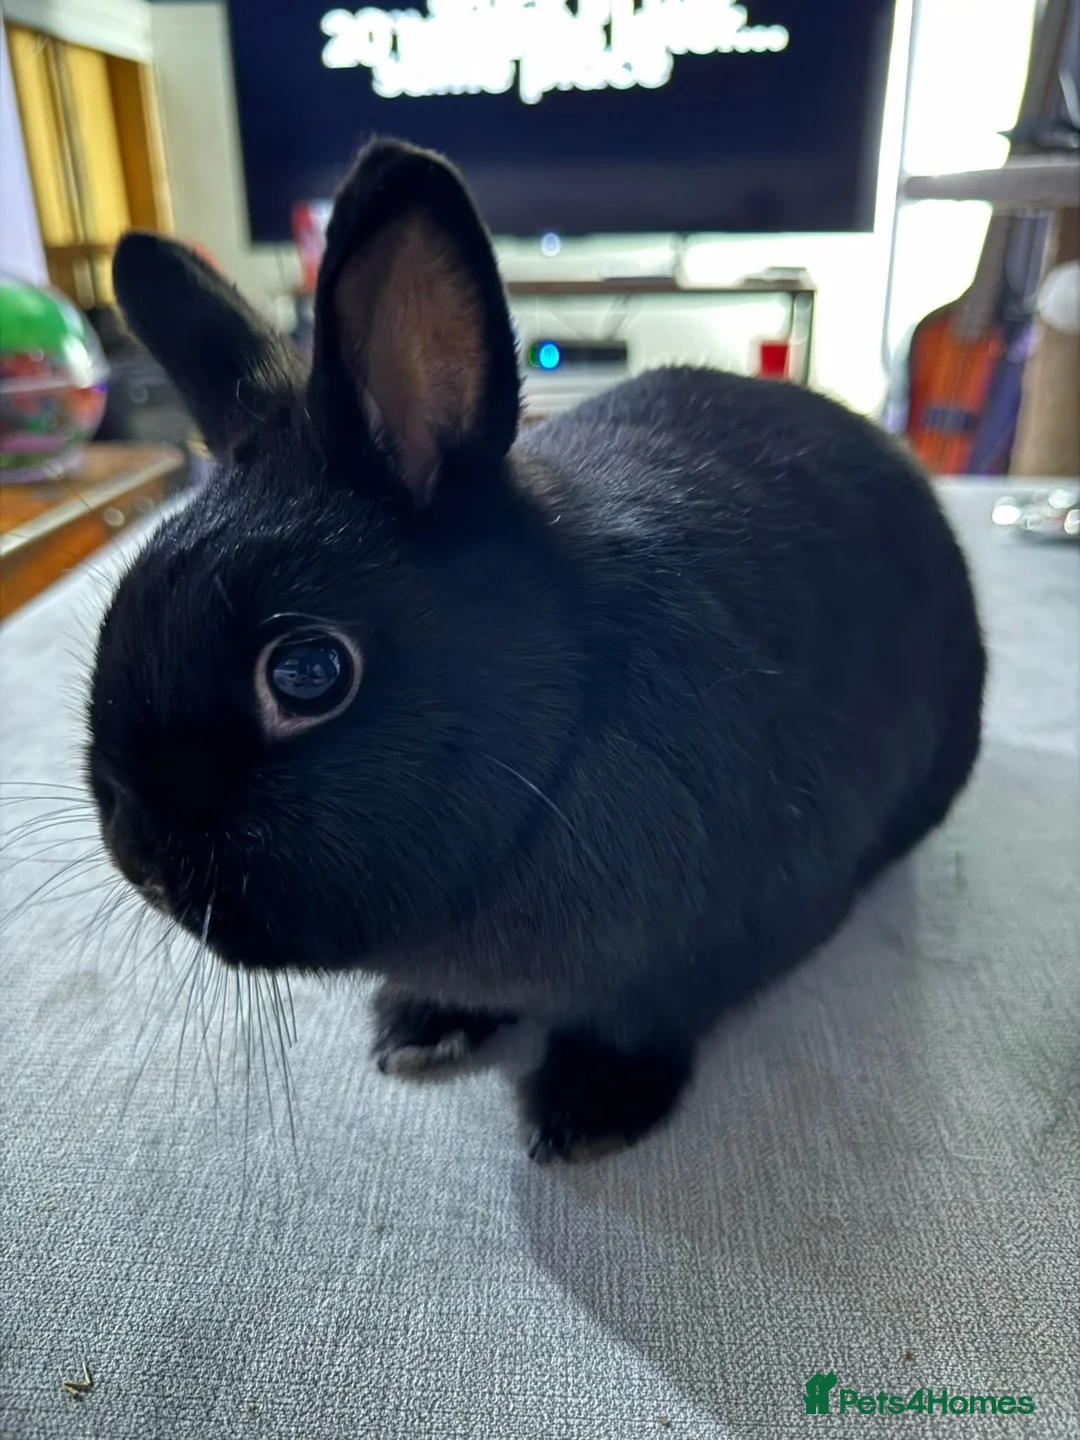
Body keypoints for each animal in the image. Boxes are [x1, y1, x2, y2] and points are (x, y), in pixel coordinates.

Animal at [88, 137, 985, 1163]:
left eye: (307, 672)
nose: (143, 863)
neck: (554, 747)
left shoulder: (704, 954)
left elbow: (643, 1018)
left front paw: (587, 1111)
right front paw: (418, 1025)